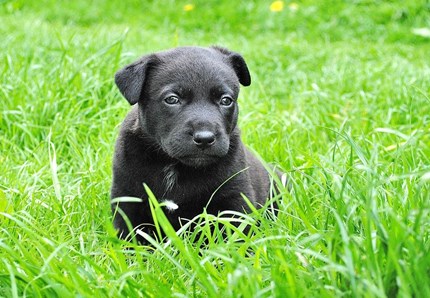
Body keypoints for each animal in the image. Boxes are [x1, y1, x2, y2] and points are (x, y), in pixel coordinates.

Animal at [111, 46, 278, 241]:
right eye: (172, 99)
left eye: (226, 100)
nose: (205, 138)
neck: (173, 165)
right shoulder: (127, 199)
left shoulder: (235, 198)